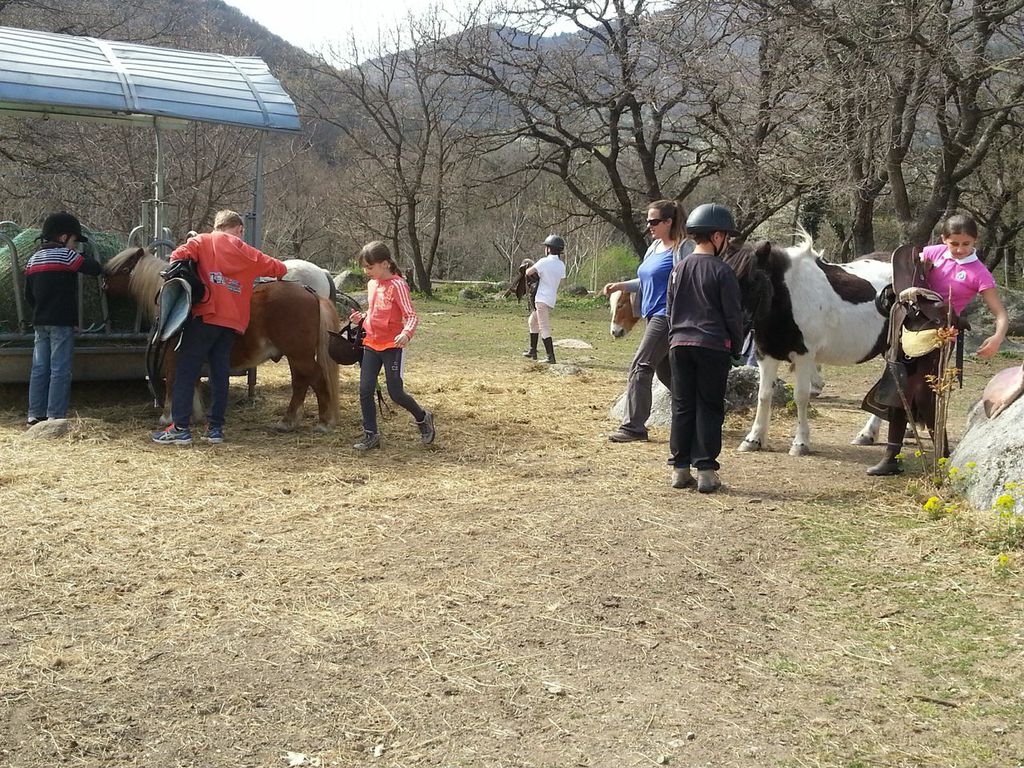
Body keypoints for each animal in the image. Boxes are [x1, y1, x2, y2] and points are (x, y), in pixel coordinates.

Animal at [104, 249, 344, 436]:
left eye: (123, 269)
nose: (103, 283)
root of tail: (311, 293)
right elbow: (193, 381)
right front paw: (196, 414)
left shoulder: (175, 354)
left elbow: (173, 380)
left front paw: (167, 416)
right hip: (295, 356)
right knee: (301, 382)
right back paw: (288, 422)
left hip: (299, 355)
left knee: (315, 379)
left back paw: (323, 422)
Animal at [720, 234, 888, 456]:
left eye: (754, 282)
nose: (733, 331)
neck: (789, 298)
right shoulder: (766, 355)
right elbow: (763, 395)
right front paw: (753, 439)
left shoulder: (803, 356)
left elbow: (800, 397)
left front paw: (800, 443)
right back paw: (868, 434)